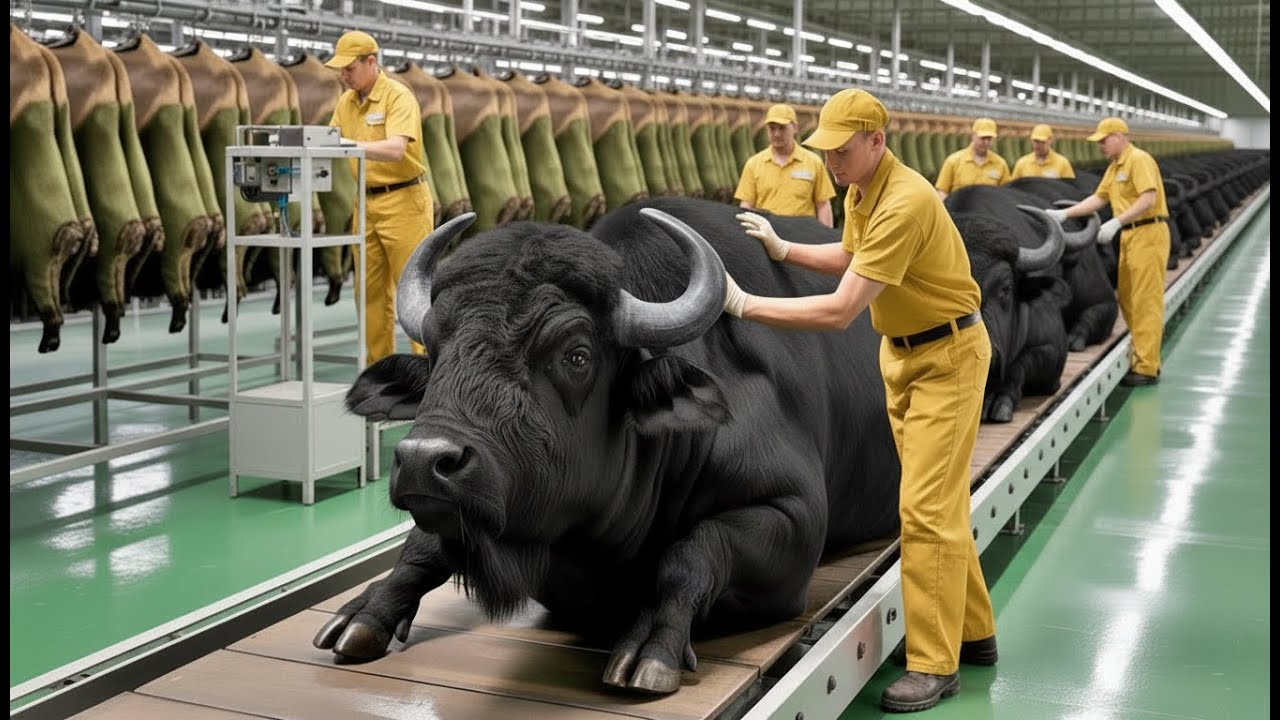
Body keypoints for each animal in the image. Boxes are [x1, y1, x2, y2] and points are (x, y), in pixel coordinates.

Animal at [314, 198, 901, 694]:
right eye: (435, 350)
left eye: (576, 355)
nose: (423, 461)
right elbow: (421, 545)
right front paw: (362, 613)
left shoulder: (794, 518)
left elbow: (692, 553)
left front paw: (651, 651)